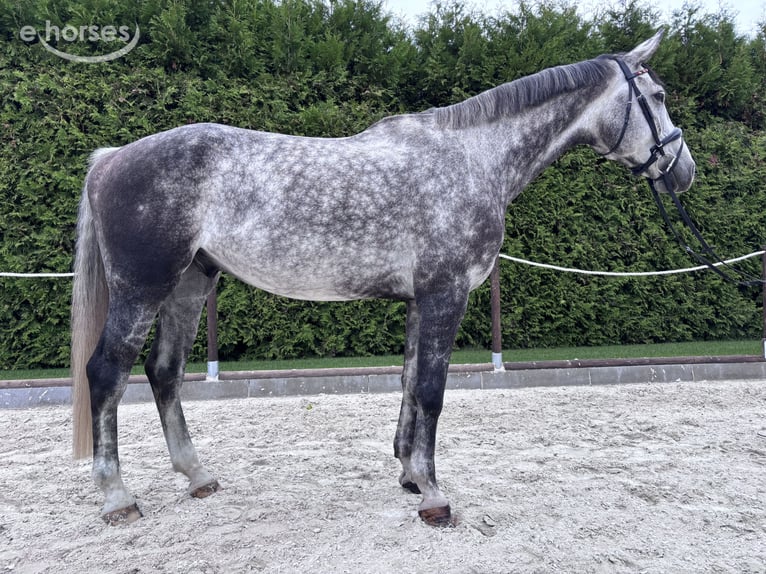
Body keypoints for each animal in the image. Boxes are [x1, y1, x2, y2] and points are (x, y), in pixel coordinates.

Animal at [71, 29, 695, 526]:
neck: (473, 158)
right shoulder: (445, 295)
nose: (683, 170)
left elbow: (410, 385)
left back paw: (198, 477)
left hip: (189, 286)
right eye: (658, 97)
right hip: (142, 288)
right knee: (106, 373)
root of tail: (110, 158)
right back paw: (118, 498)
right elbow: (433, 392)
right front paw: (435, 497)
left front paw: (412, 477)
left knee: (164, 372)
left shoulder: (421, 301)